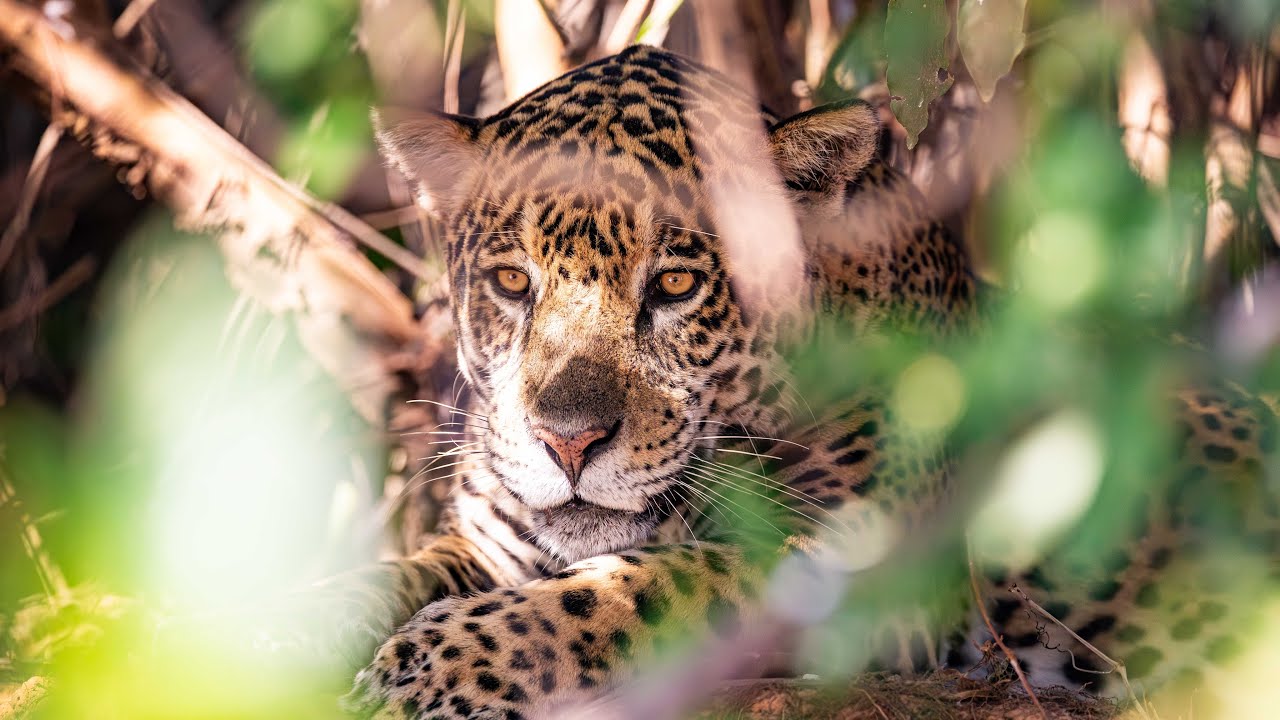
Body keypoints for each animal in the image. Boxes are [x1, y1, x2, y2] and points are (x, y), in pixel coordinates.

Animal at [302, 45, 1279, 719]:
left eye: (675, 286)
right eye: (512, 282)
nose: (568, 442)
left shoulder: (868, 575)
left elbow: (644, 584)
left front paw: (425, 666)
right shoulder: (491, 544)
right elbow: (393, 573)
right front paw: (304, 615)